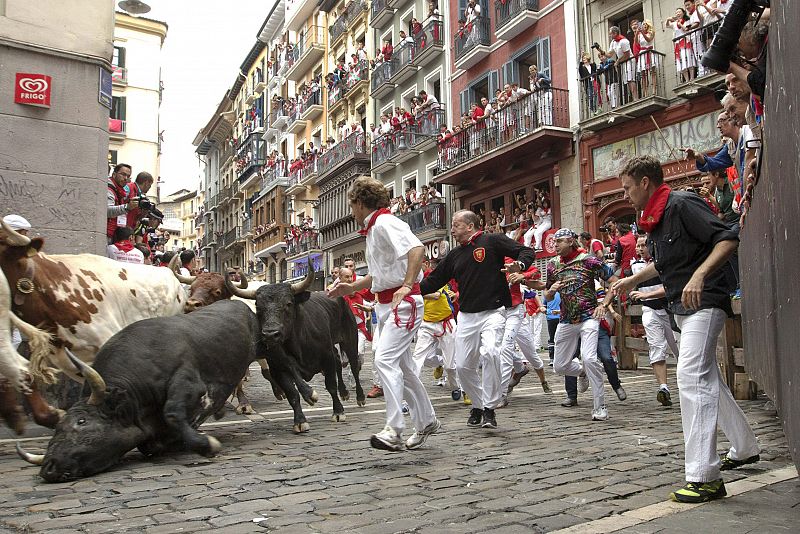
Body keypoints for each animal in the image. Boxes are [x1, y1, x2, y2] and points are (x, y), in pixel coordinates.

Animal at [15, 300, 260, 484]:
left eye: (82, 421)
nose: (48, 467)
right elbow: (150, 444)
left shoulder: (189, 384)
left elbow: (172, 413)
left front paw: (206, 444)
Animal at [227, 266, 368, 434]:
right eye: (258, 307)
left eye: (288, 303)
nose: (270, 334)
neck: (298, 342)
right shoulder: (278, 368)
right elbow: (293, 393)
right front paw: (300, 420)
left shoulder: (326, 358)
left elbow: (331, 386)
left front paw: (338, 412)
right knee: (339, 361)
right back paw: (344, 392)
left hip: (350, 340)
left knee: (353, 366)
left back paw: (360, 397)